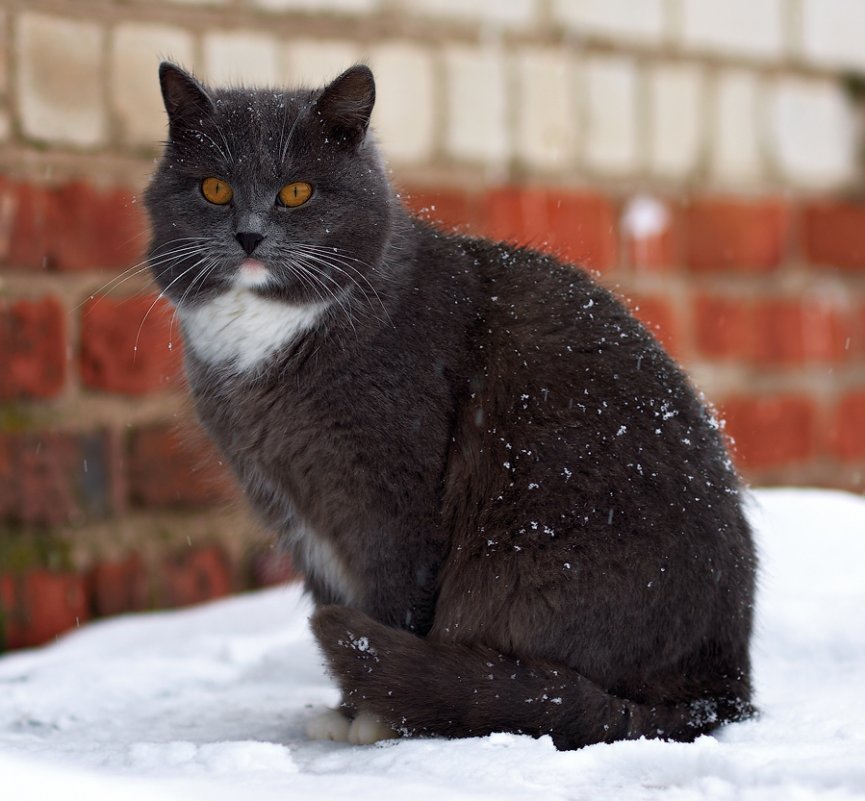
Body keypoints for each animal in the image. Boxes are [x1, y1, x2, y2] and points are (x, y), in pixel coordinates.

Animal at [147, 62, 756, 752]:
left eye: (297, 192)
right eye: (215, 188)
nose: (248, 235)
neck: (268, 337)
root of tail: (720, 686)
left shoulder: (391, 495)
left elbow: (389, 598)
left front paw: (377, 719)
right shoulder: (293, 507)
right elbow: (334, 591)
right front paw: (344, 712)